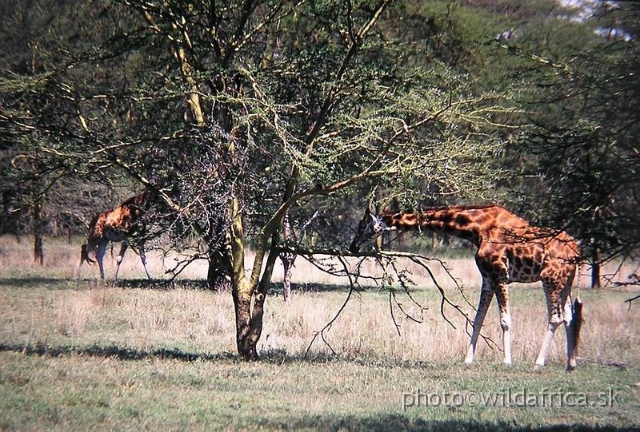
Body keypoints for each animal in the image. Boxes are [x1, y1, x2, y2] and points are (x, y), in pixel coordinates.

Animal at [352, 204, 584, 370]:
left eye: (363, 225)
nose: (352, 246)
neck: (476, 229)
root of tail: (576, 250)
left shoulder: (500, 274)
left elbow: (505, 321)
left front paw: (507, 361)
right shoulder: (487, 278)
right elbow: (477, 319)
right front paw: (468, 359)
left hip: (549, 277)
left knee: (556, 317)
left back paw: (539, 362)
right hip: (566, 281)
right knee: (569, 316)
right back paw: (571, 363)